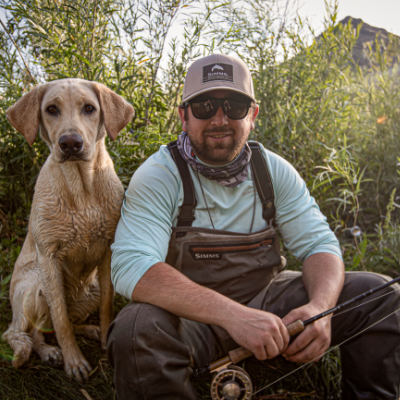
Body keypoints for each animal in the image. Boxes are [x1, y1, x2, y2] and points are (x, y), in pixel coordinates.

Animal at [2, 78, 134, 382]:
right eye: (51, 109)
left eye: (89, 108)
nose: (71, 143)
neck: (81, 188)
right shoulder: (49, 259)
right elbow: (60, 320)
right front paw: (74, 362)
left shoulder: (108, 253)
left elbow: (107, 305)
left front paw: (106, 339)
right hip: (36, 285)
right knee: (25, 332)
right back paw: (50, 352)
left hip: (90, 288)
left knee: (65, 323)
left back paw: (89, 331)